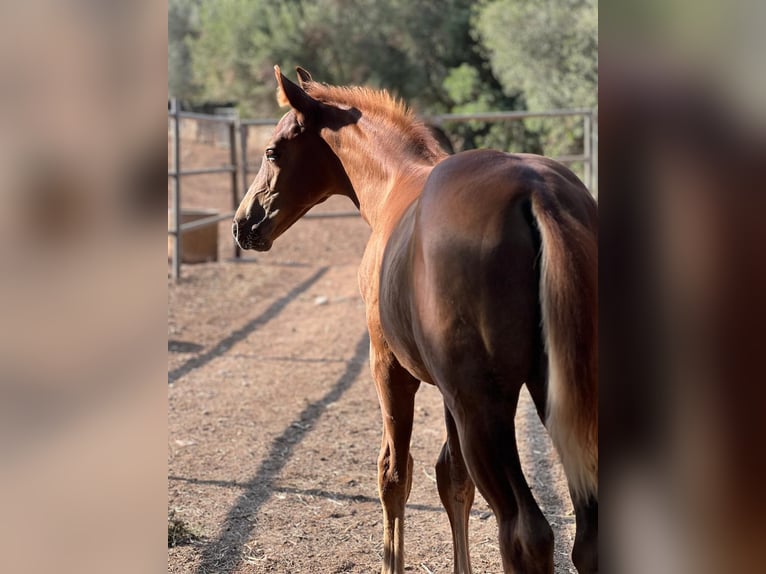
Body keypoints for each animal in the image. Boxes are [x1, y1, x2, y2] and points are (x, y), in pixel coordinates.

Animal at [234, 68, 600, 574]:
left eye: (272, 151)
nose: (242, 223)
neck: (394, 185)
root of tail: (537, 193)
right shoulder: (448, 394)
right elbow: (453, 480)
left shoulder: (391, 370)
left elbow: (394, 472)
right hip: (551, 394)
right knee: (588, 534)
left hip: (485, 409)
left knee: (525, 532)